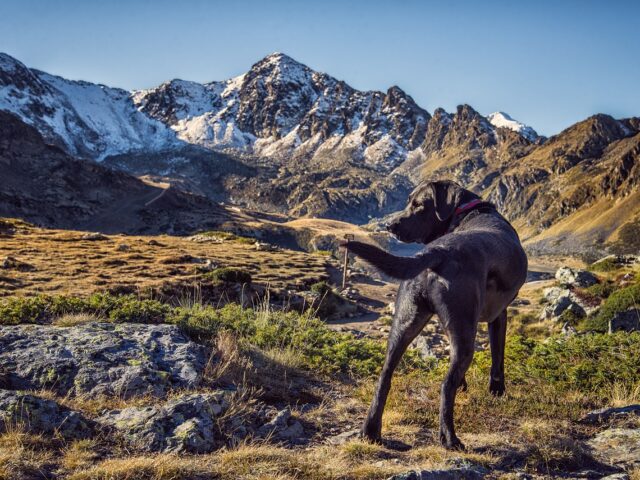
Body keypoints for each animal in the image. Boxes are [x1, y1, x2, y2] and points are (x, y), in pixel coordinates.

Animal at [342, 179, 528, 450]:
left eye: (418, 204)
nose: (389, 226)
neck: (469, 211)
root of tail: (436, 252)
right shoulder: (499, 314)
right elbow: (497, 357)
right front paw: (497, 391)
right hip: (465, 332)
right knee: (445, 385)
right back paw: (450, 438)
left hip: (405, 322)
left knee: (385, 376)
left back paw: (371, 431)